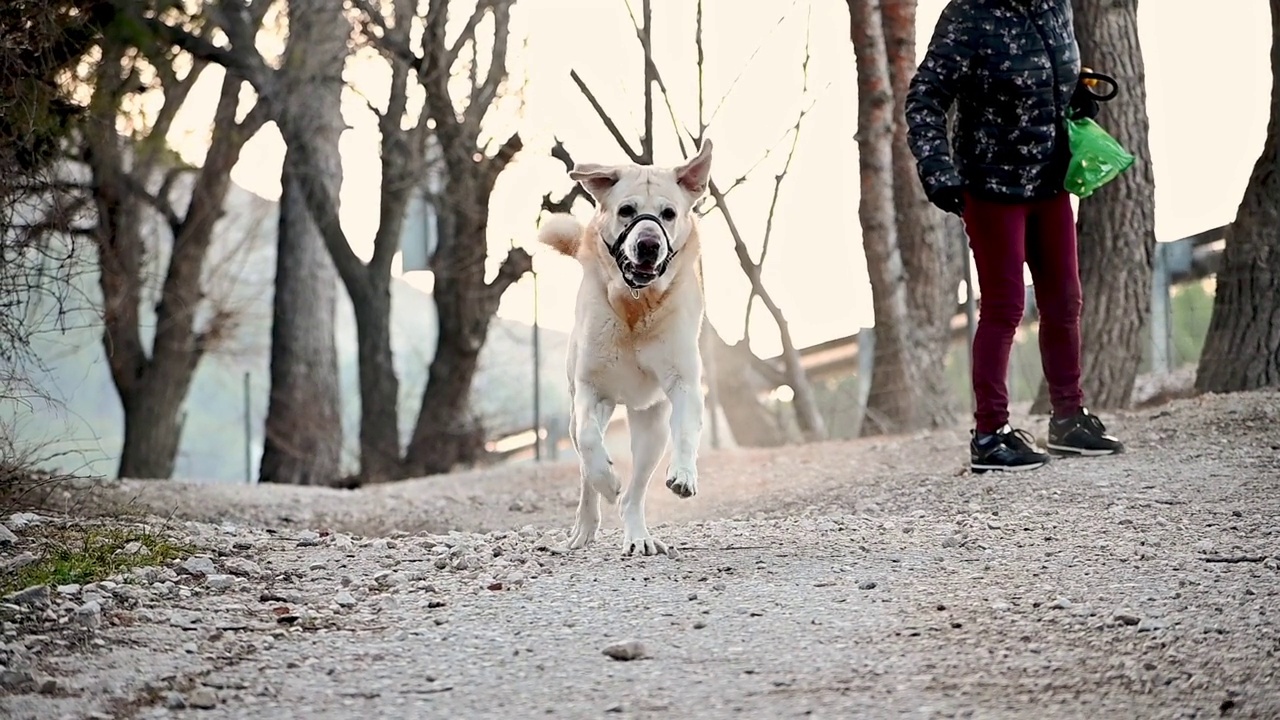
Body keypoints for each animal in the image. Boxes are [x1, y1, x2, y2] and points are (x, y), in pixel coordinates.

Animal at [532, 140, 716, 556]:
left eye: (668, 214)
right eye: (626, 210)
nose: (648, 245)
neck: (636, 306)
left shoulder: (684, 382)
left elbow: (687, 431)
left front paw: (683, 475)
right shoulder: (592, 390)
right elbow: (589, 444)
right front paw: (608, 480)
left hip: (651, 426)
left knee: (636, 493)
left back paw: (638, 536)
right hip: (575, 413)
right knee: (586, 469)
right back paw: (585, 526)